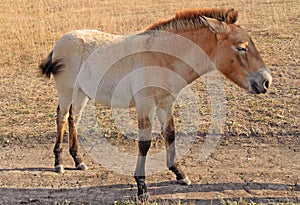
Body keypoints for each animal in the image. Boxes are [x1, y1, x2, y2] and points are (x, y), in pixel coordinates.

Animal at [39, 8, 272, 200]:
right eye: (241, 48)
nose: (266, 81)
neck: (162, 57)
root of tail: (61, 41)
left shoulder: (166, 104)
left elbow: (170, 135)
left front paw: (180, 174)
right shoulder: (145, 105)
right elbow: (145, 144)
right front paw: (142, 187)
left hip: (82, 94)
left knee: (74, 118)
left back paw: (78, 161)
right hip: (67, 91)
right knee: (61, 118)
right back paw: (59, 163)